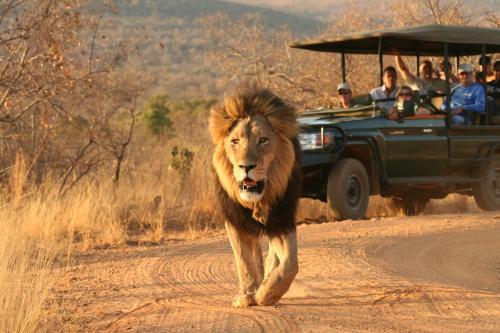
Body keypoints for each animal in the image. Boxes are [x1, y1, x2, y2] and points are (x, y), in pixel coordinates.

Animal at [208, 85, 300, 306]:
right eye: (235, 141)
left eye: (263, 140)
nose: (246, 167)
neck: (258, 202)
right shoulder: (234, 219)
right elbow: (243, 259)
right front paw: (248, 294)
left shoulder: (281, 218)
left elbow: (290, 263)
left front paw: (268, 293)